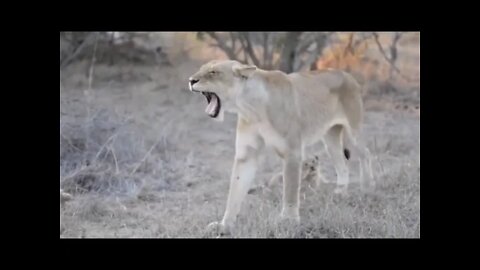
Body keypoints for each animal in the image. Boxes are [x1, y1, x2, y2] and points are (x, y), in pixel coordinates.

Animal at [188, 60, 376, 235]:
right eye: (201, 68)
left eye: (213, 72)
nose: (191, 80)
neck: (250, 106)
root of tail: (347, 74)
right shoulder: (246, 154)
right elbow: (235, 192)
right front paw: (224, 226)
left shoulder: (292, 152)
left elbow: (290, 190)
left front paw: (289, 221)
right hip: (330, 138)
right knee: (342, 165)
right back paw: (339, 193)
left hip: (353, 129)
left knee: (365, 153)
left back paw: (366, 189)